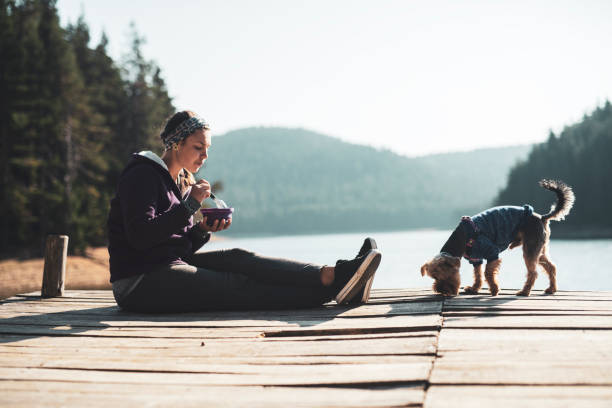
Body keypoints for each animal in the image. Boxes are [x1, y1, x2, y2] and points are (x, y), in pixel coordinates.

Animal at [420, 178, 572, 296]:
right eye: (434, 277)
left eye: (444, 275)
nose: (440, 290)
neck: (461, 238)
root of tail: (542, 217)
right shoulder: (475, 259)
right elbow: (478, 275)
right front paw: (474, 288)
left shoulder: (492, 252)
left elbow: (488, 273)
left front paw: (494, 289)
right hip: (538, 249)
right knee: (551, 267)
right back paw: (551, 289)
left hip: (530, 249)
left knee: (533, 272)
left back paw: (524, 291)